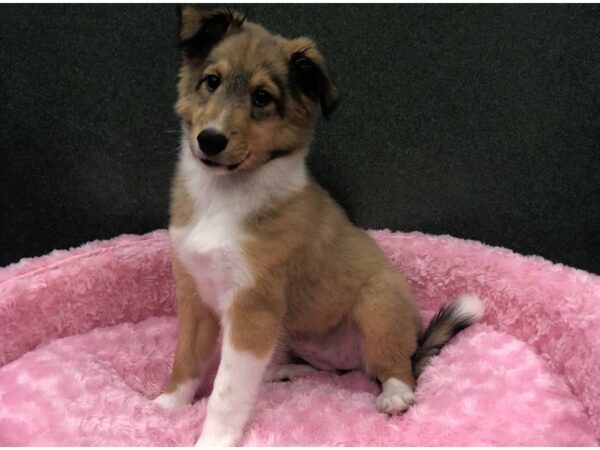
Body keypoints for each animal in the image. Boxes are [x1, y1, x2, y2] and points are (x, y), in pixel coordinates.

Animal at [155, 7, 482, 446]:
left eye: (262, 97)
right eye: (212, 81)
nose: (210, 140)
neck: (222, 197)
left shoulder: (252, 308)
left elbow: (226, 390)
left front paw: (212, 440)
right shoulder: (194, 296)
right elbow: (186, 361)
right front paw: (165, 407)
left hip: (378, 302)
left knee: (397, 367)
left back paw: (395, 395)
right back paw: (281, 371)